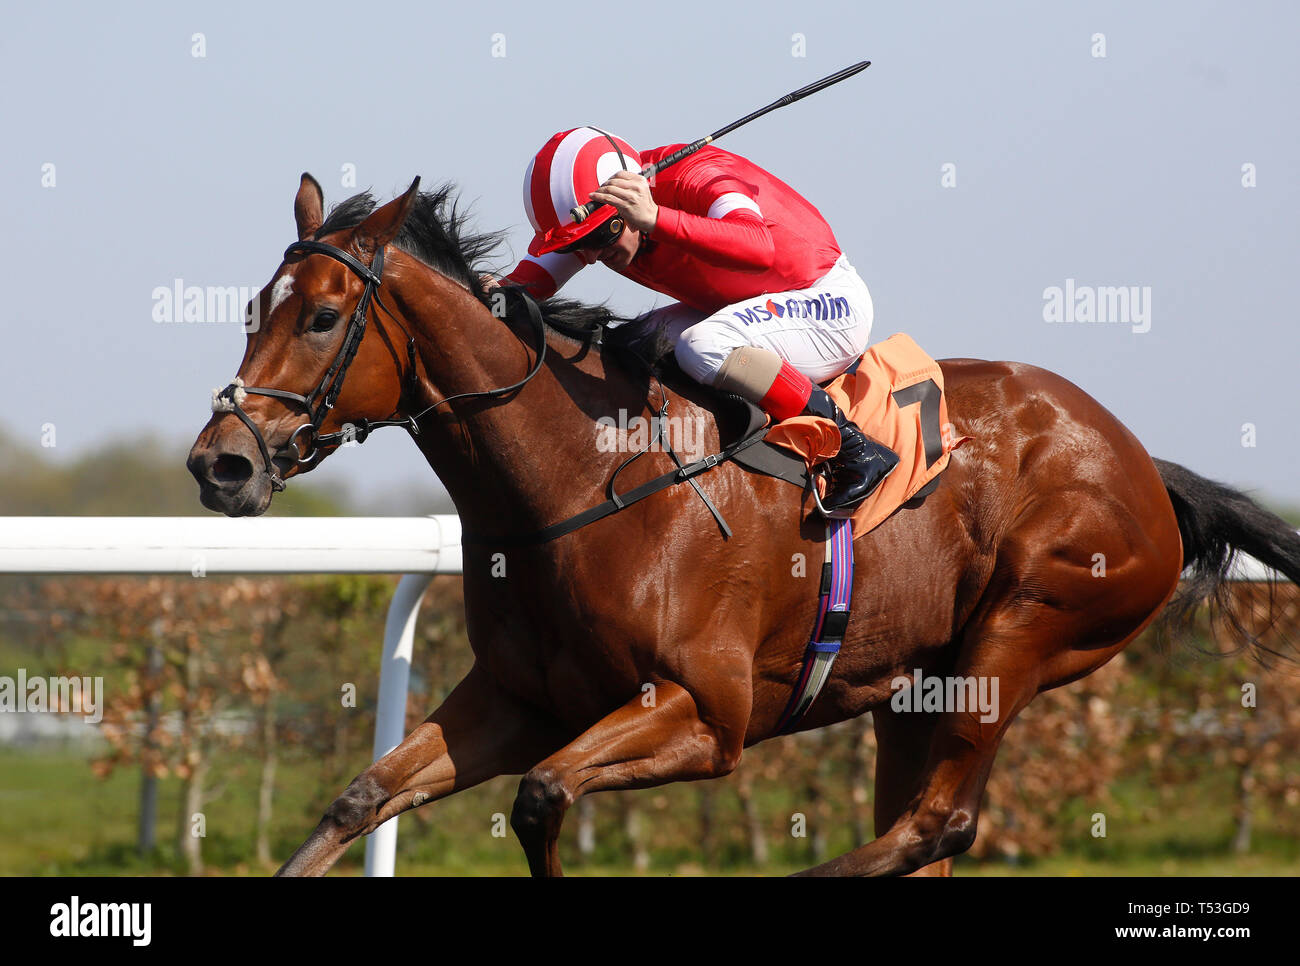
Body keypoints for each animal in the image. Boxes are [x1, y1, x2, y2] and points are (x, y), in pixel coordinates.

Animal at [188, 174, 1300, 878]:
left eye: (322, 317)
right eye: (252, 308)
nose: (220, 463)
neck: (580, 477)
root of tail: (1142, 464)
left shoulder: (705, 715)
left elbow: (541, 799)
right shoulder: (517, 700)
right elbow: (358, 799)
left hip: (1022, 632)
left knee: (937, 825)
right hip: (918, 686)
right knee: (924, 831)